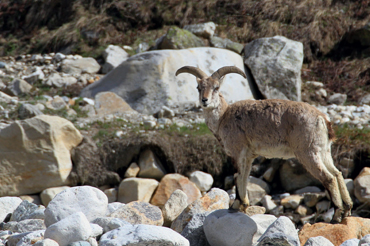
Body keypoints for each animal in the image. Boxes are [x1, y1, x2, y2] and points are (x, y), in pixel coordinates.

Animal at [176, 65, 352, 223]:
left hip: (307, 152)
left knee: (328, 178)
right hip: (323, 151)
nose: (204, 100)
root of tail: (323, 119)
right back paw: (348, 209)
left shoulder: (237, 152)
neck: (223, 118)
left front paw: (235, 206)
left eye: (216, 87)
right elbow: (244, 176)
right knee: (337, 173)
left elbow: (237, 176)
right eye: (198, 87)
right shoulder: (249, 156)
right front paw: (244, 205)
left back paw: (336, 215)